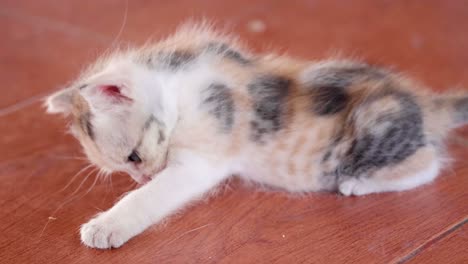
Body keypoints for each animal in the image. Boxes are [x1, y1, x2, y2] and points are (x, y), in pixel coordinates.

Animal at [44, 23, 468, 249]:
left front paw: (106, 225)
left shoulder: (203, 154)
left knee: (428, 163)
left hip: (372, 126)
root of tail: (427, 104)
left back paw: (356, 183)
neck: (179, 84)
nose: (142, 175)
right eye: (127, 169)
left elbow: (153, 196)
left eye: (133, 157)